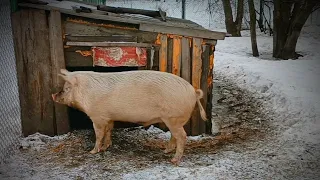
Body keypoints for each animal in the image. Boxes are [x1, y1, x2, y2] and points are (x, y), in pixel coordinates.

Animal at [52, 69, 219, 165]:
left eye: (66, 88)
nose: (53, 95)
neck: (85, 92)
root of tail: (193, 91)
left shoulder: (97, 117)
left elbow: (99, 134)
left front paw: (92, 152)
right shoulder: (109, 117)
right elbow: (108, 131)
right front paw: (106, 147)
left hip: (173, 118)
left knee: (182, 137)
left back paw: (174, 159)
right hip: (173, 120)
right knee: (175, 136)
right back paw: (166, 151)